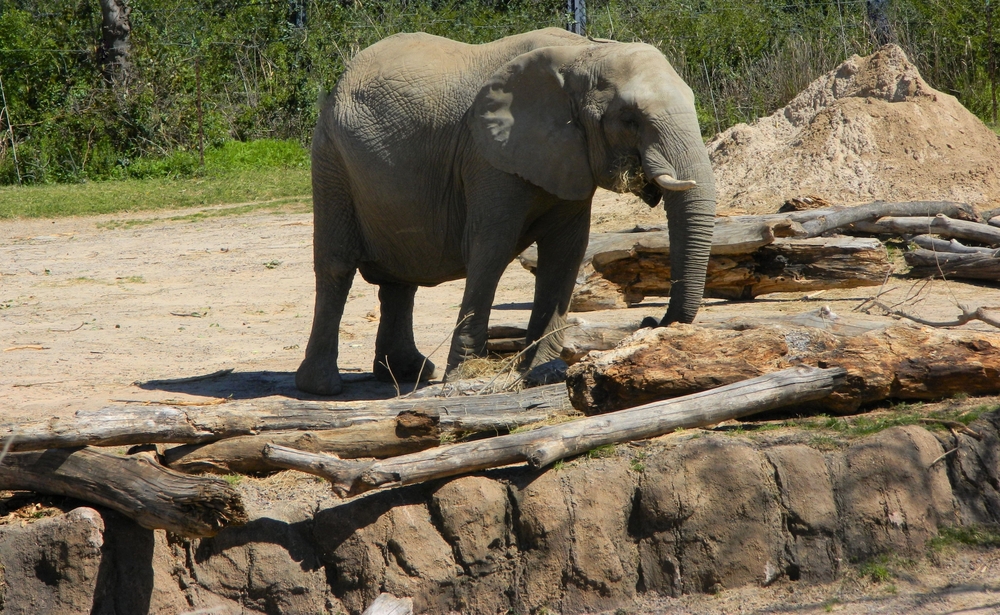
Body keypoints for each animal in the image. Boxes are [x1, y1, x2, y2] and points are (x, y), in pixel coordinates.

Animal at [292, 27, 716, 394]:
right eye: (629, 120)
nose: (650, 320)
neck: (583, 52)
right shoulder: (487, 157)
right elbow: (491, 247)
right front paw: (465, 377)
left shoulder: (567, 158)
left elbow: (567, 253)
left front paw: (543, 373)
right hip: (330, 159)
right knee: (336, 267)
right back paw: (322, 387)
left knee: (400, 277)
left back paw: (409, 372)